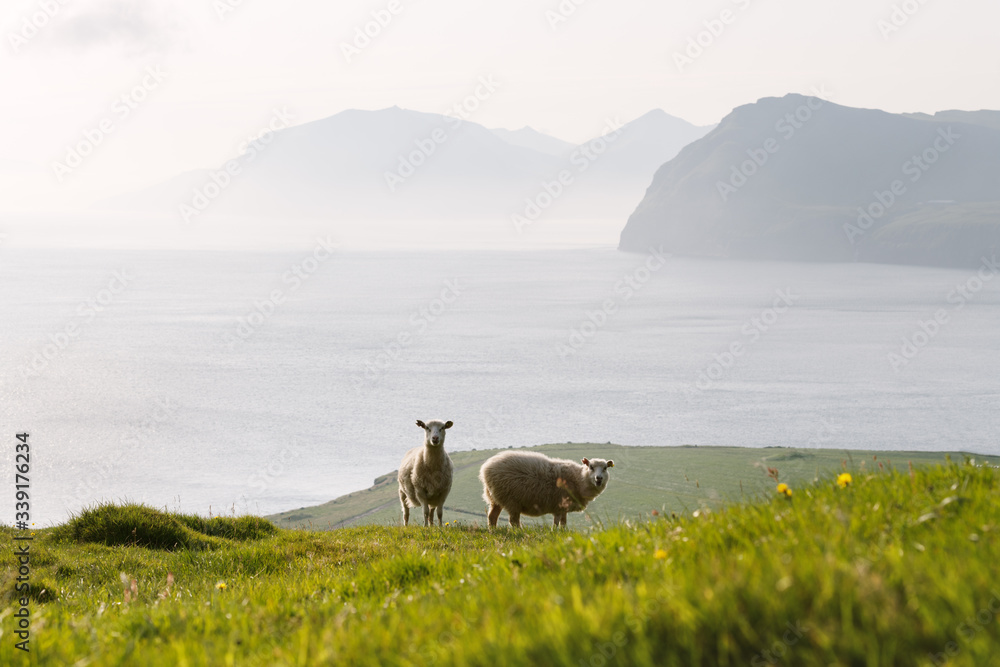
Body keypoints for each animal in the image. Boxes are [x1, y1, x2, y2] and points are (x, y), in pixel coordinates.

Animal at [480, 452, 612, 528]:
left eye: (605, 468)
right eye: (591, 467)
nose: (599, 478)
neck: (579, 479)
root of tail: (486, 468)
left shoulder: (564, 508)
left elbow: (563, 524)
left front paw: (562, 534)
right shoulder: (558, 506)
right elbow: (556, 523)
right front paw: (555, 534)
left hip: (495, 498)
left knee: (492, 517)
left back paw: (493, 532)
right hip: (511, 500)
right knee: (513, 521)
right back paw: (520, 532)